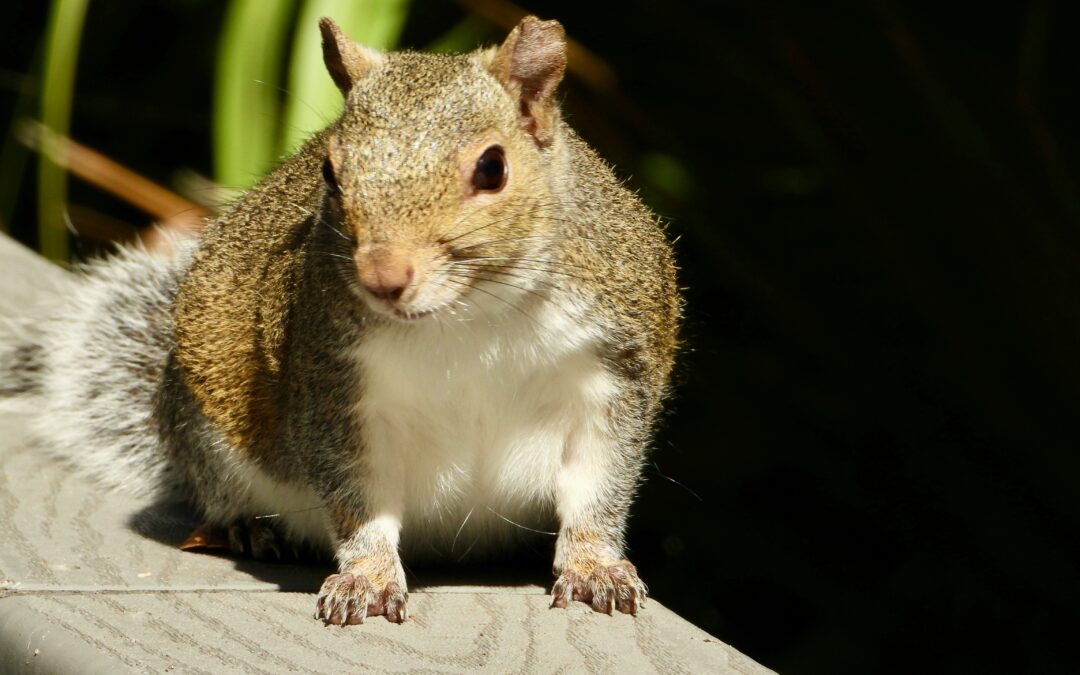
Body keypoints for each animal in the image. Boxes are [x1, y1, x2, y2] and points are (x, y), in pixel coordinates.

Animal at [0, 16, 681, 625]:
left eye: (493, 167)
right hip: (205, 428)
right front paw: (368, 577)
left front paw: (595, 566)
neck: (467, 311)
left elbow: (598, 484)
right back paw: (246, 526)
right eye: (329, 172)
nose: (383, 276)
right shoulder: (333, 388)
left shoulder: (612, 371)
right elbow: (358, 499)